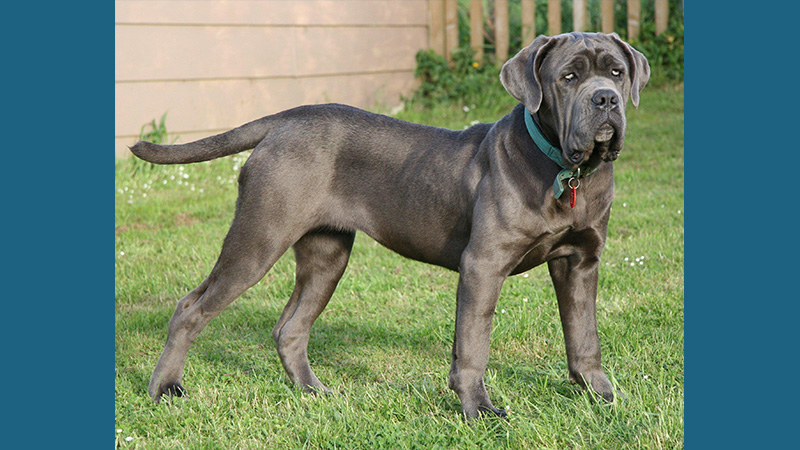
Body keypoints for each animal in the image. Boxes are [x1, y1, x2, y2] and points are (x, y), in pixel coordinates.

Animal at [131, 32, 648, 422]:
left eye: (617, 73)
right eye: (568, 77)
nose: (606, 99)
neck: (566, 169)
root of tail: (286, 119)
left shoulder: (580, 262)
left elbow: (584, 336)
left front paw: (602, 396)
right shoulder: (483, 265)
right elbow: (473, 346)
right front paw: (478, 410)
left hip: (327, 255)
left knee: (290, 327)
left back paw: (313, 391)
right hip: (259, 238)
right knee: (190, 308)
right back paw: (164, 389)